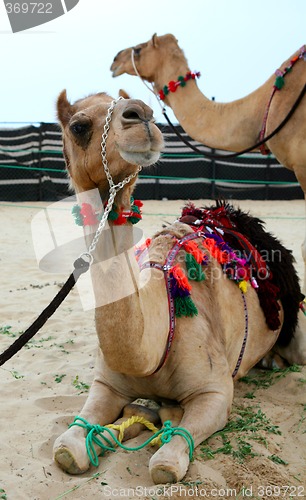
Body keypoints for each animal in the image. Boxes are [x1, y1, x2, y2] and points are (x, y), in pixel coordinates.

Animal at [52, 89, 304, 484]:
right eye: (78, 125)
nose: (141, 114)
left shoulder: (215, 390)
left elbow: (166, 464)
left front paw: (160, 427)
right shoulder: (106, 385)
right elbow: (66, 446)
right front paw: (118, 427)